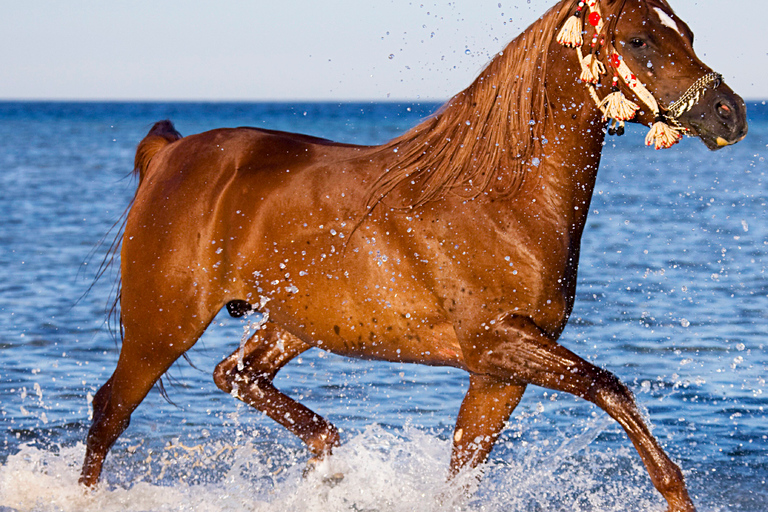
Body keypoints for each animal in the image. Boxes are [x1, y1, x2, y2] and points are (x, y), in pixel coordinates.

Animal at [81, 1, 748, 508]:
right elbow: (614, 391)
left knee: (237, 376)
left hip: (293, 323)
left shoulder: (499, 373)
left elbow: (462, 474)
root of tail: (170, 153)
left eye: (688, 31)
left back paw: (330, 460)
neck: (500, 199)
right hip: (163, 325)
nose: (731, 113)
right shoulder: (499, 344)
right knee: (111, 410)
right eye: (638, 39)